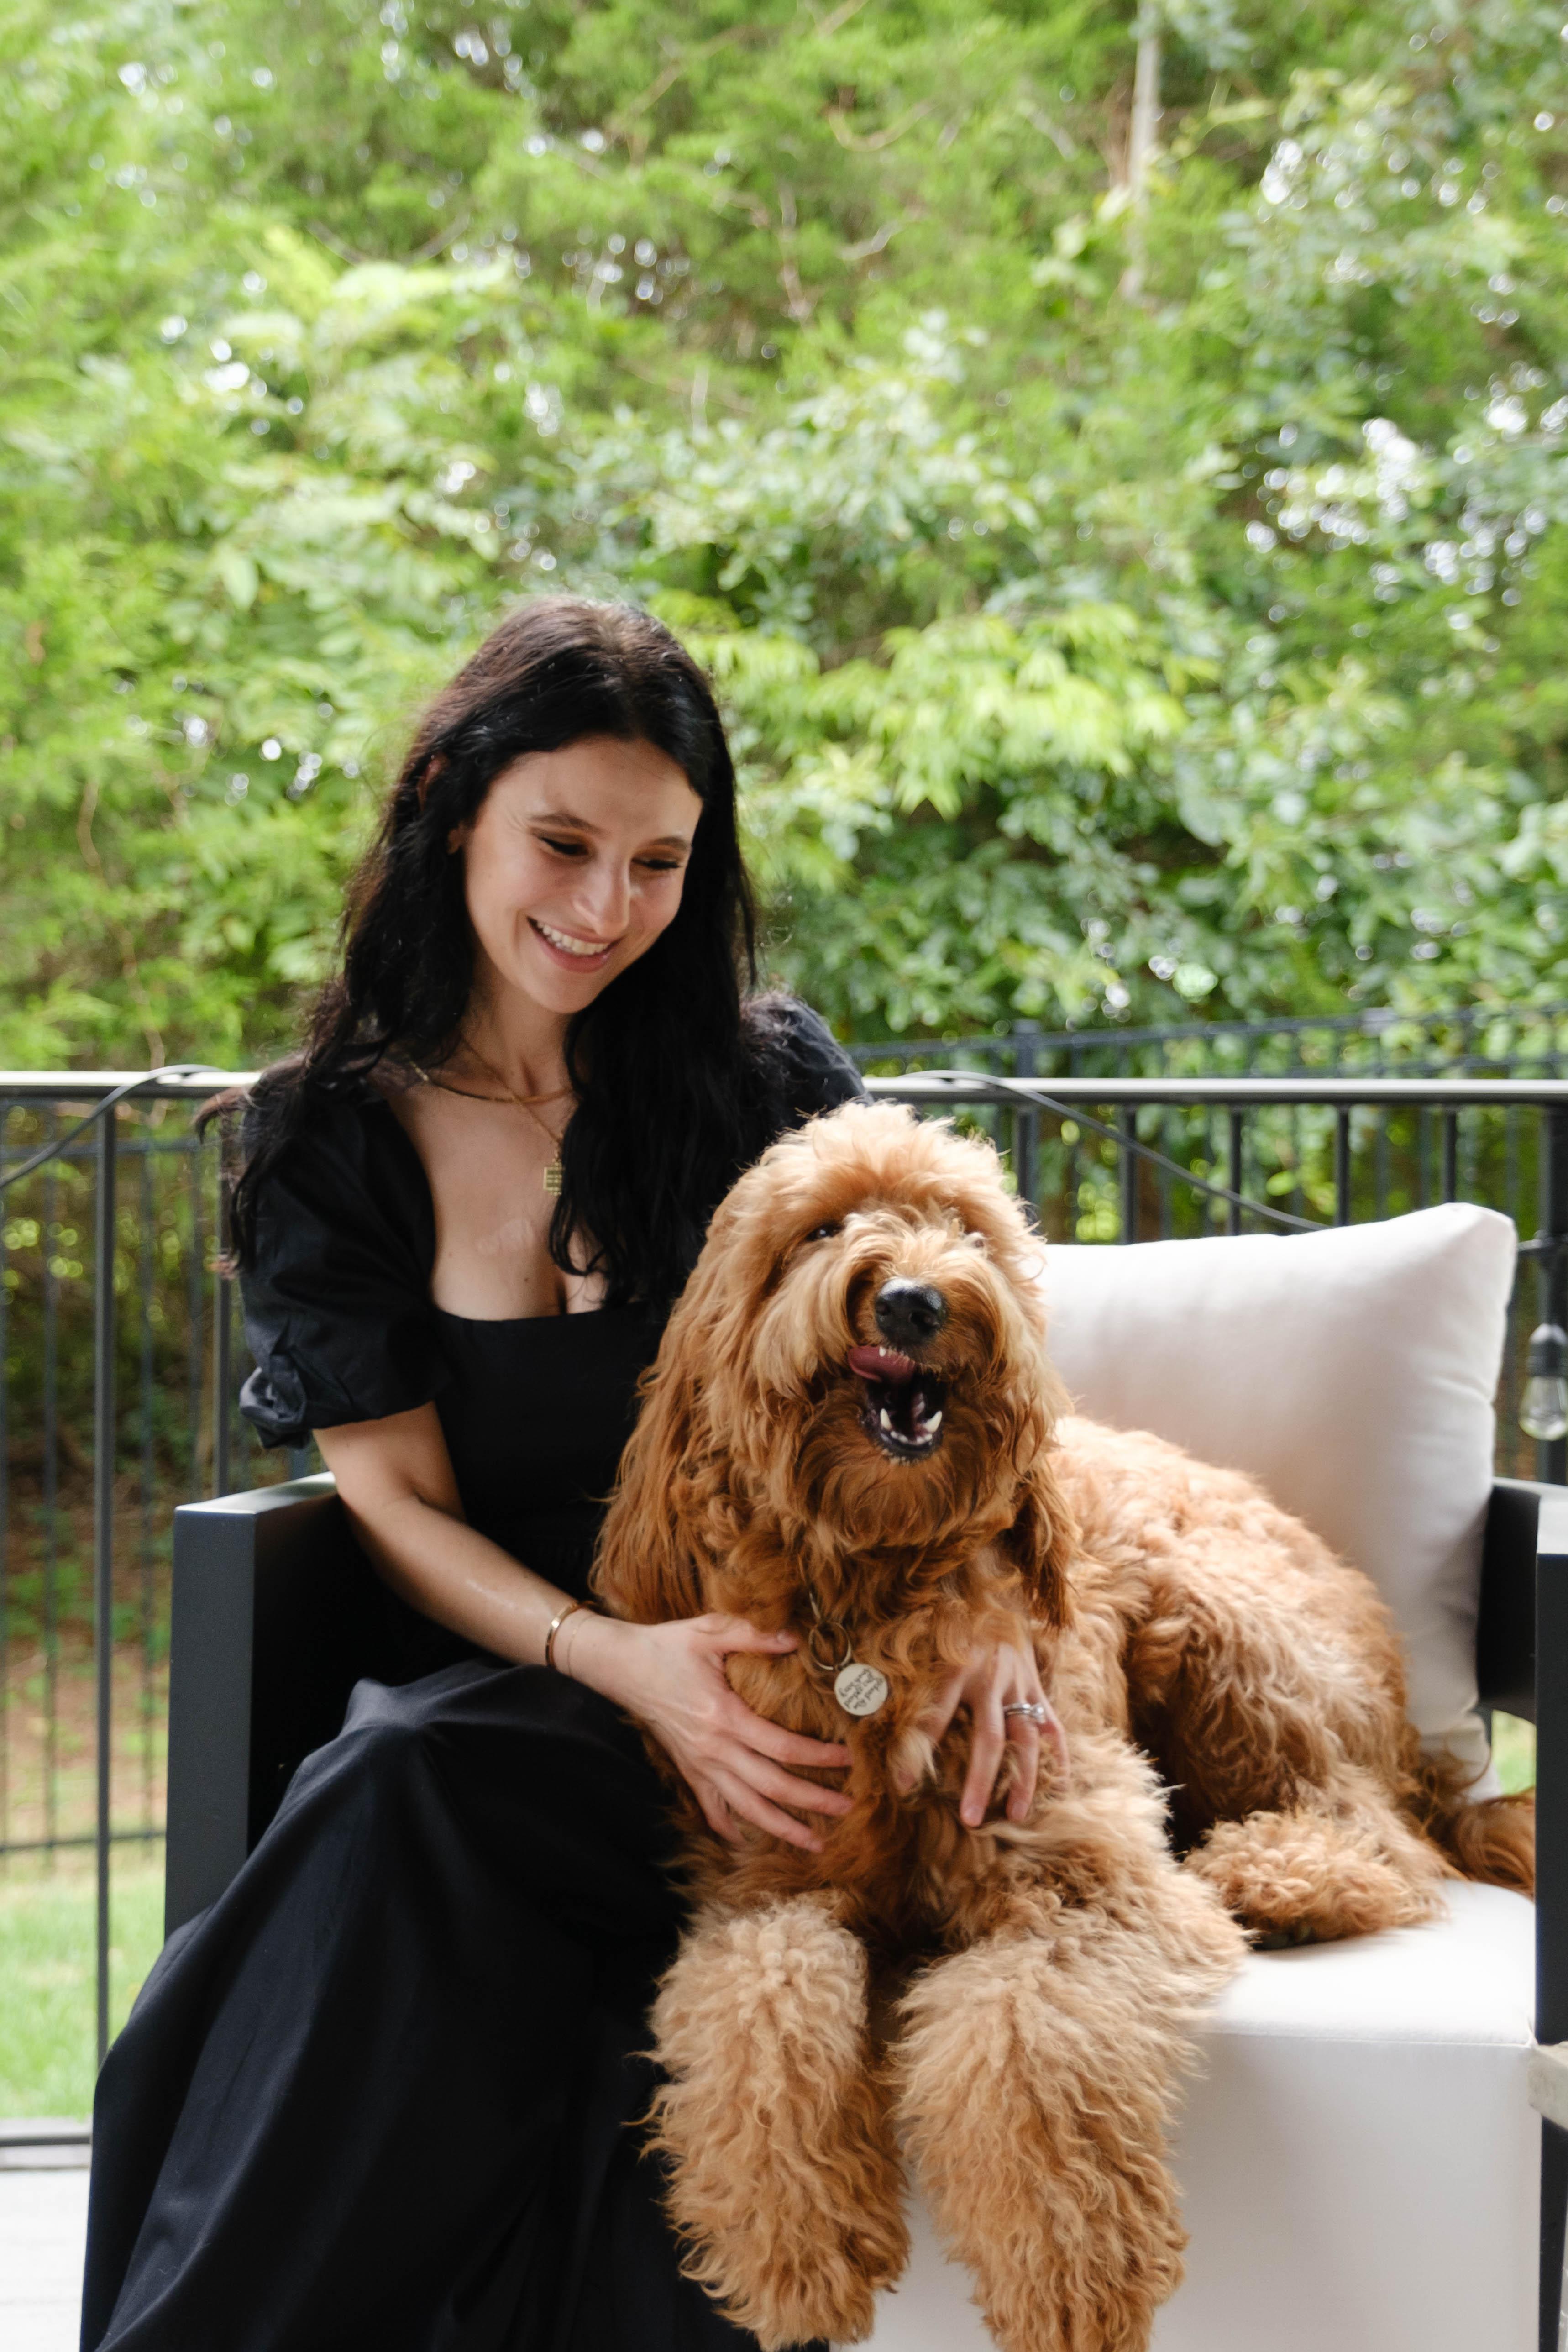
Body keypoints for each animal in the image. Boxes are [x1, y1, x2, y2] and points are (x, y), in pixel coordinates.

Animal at [592, 1101, 1532, 2352]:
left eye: (964, 1228)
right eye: (821, 1228)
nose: (913, 1300)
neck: (873, 1599)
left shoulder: (1078, 1880)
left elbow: (1022, 2049)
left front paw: (1064, 2278)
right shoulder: (766, 1889)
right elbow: (758, 2016)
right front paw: (796, 2248)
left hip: (1222, 1630)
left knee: (1376, 1827)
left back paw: (1281, 1880)